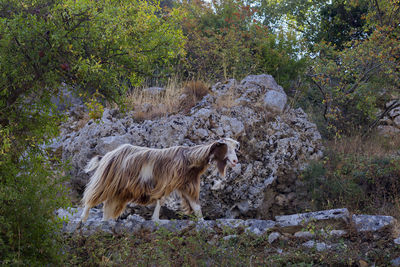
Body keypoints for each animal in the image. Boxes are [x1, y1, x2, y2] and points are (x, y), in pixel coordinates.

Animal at [79, 137, 239, 223]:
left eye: (234, 148)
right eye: (225, 148)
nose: (235, 161)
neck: (189, 159)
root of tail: (107, 155)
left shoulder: (187, 185)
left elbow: (196, 206)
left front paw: (201, 221)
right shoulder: (166, 183)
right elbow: (160, 200)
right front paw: (156, 219)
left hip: (119, 190)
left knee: (107, 206)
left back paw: (105, 221)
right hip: (105, 180)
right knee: (93, 195)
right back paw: (83, 218)